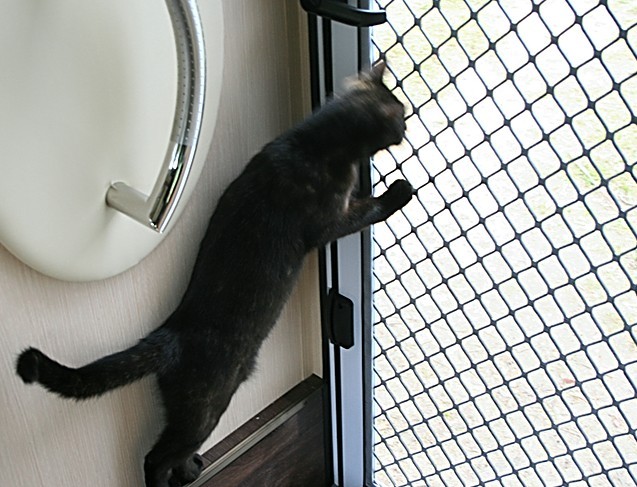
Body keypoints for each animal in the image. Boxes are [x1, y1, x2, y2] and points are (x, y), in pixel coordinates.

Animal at [15, 61, 413, 487]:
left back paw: (190, 468)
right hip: (206, 407)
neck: (315, 141)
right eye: (402, 116)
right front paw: (397, 192)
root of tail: (169, 334)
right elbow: (366, 211)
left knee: (172, 451)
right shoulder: (329, 221)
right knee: (156, 456)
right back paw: (171, 476)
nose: (408, 127)